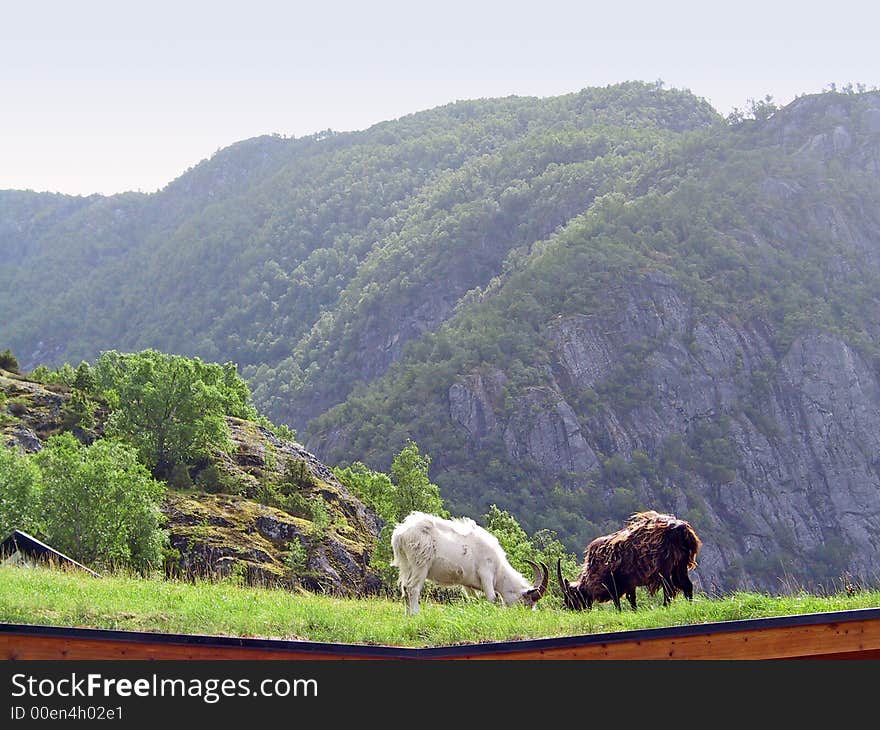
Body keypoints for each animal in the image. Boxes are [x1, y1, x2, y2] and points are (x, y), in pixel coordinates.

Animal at [390, 512, 548, 616]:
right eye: (528, 603)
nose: (525, 615)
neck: (499, 570)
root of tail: (400, 535)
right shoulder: (486, 573)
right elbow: (492, 598)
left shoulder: (467, 584)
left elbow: (473, 599)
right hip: (420, 564)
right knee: (413, 588)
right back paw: (415, 614)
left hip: (406, 565)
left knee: (405, 588)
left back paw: (407, 615)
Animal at [556, 512, 700, 608]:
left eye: (571, 596)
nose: (569, 609)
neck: (595, 567)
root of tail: (682, 529)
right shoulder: (630, 583)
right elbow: (632, 600)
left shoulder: (615, 583)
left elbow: (618, 602)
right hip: (680, 565)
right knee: (687, 585)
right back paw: (690, 605)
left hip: (664, 567)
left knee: (669, 588)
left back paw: (665, 607)